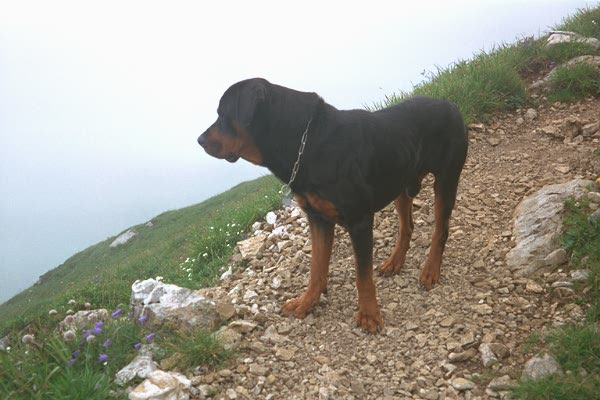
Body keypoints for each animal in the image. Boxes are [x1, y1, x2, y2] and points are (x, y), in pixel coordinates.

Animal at [197, 77, 468, 332]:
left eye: (223, 115)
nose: (199, 140)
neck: (304, 143)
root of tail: (452, 106)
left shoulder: (359, 220)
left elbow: (362, 275)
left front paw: (369, 315)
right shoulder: (318, 218)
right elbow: (316, 267)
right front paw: (306, 303)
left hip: (446, 178)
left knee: (441, 229)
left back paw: (431, 270)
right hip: (402, 182)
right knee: (407, 226)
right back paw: (395, 262)